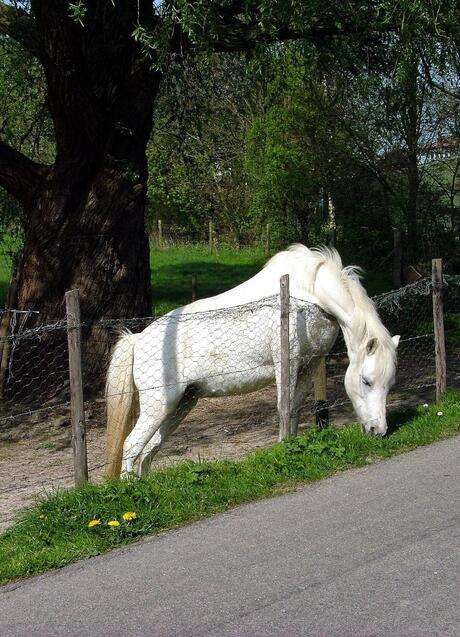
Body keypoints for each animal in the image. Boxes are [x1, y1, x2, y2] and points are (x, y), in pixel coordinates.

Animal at [107, 246, 398, 474]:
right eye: (366, 381)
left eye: (389, 384)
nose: (379, 430)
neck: (309, 293)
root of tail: (139, 339)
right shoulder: (286, 364)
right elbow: (283, 407)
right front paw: (284, 447)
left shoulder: (309, 365)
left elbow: (294, 408)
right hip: (159, 405)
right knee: (132, 446)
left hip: (181, 404)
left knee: (148, 450)